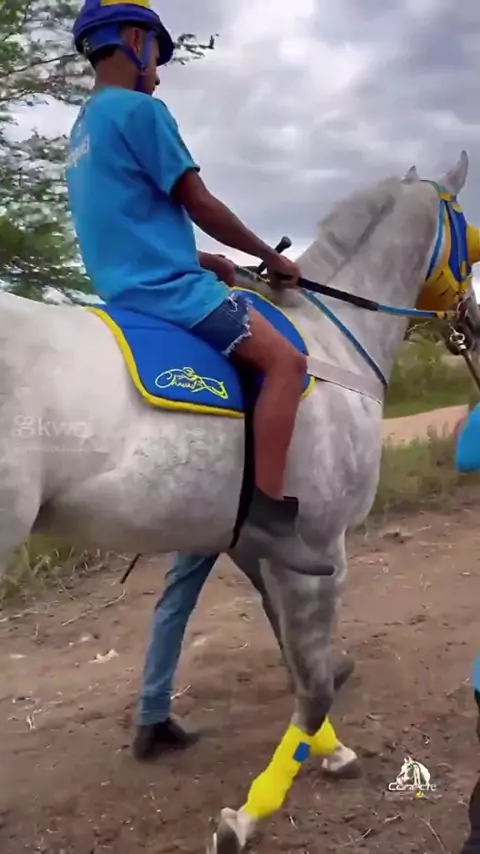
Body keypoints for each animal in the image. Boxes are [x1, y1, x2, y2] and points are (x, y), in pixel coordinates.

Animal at [0, 151, 479, 854]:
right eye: (469, 235)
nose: (471, 318)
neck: (332, 344)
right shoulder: (323, 549)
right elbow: (312, 685)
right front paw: (250, 814)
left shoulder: (257, 550)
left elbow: (296, 660)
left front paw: (327, 753)